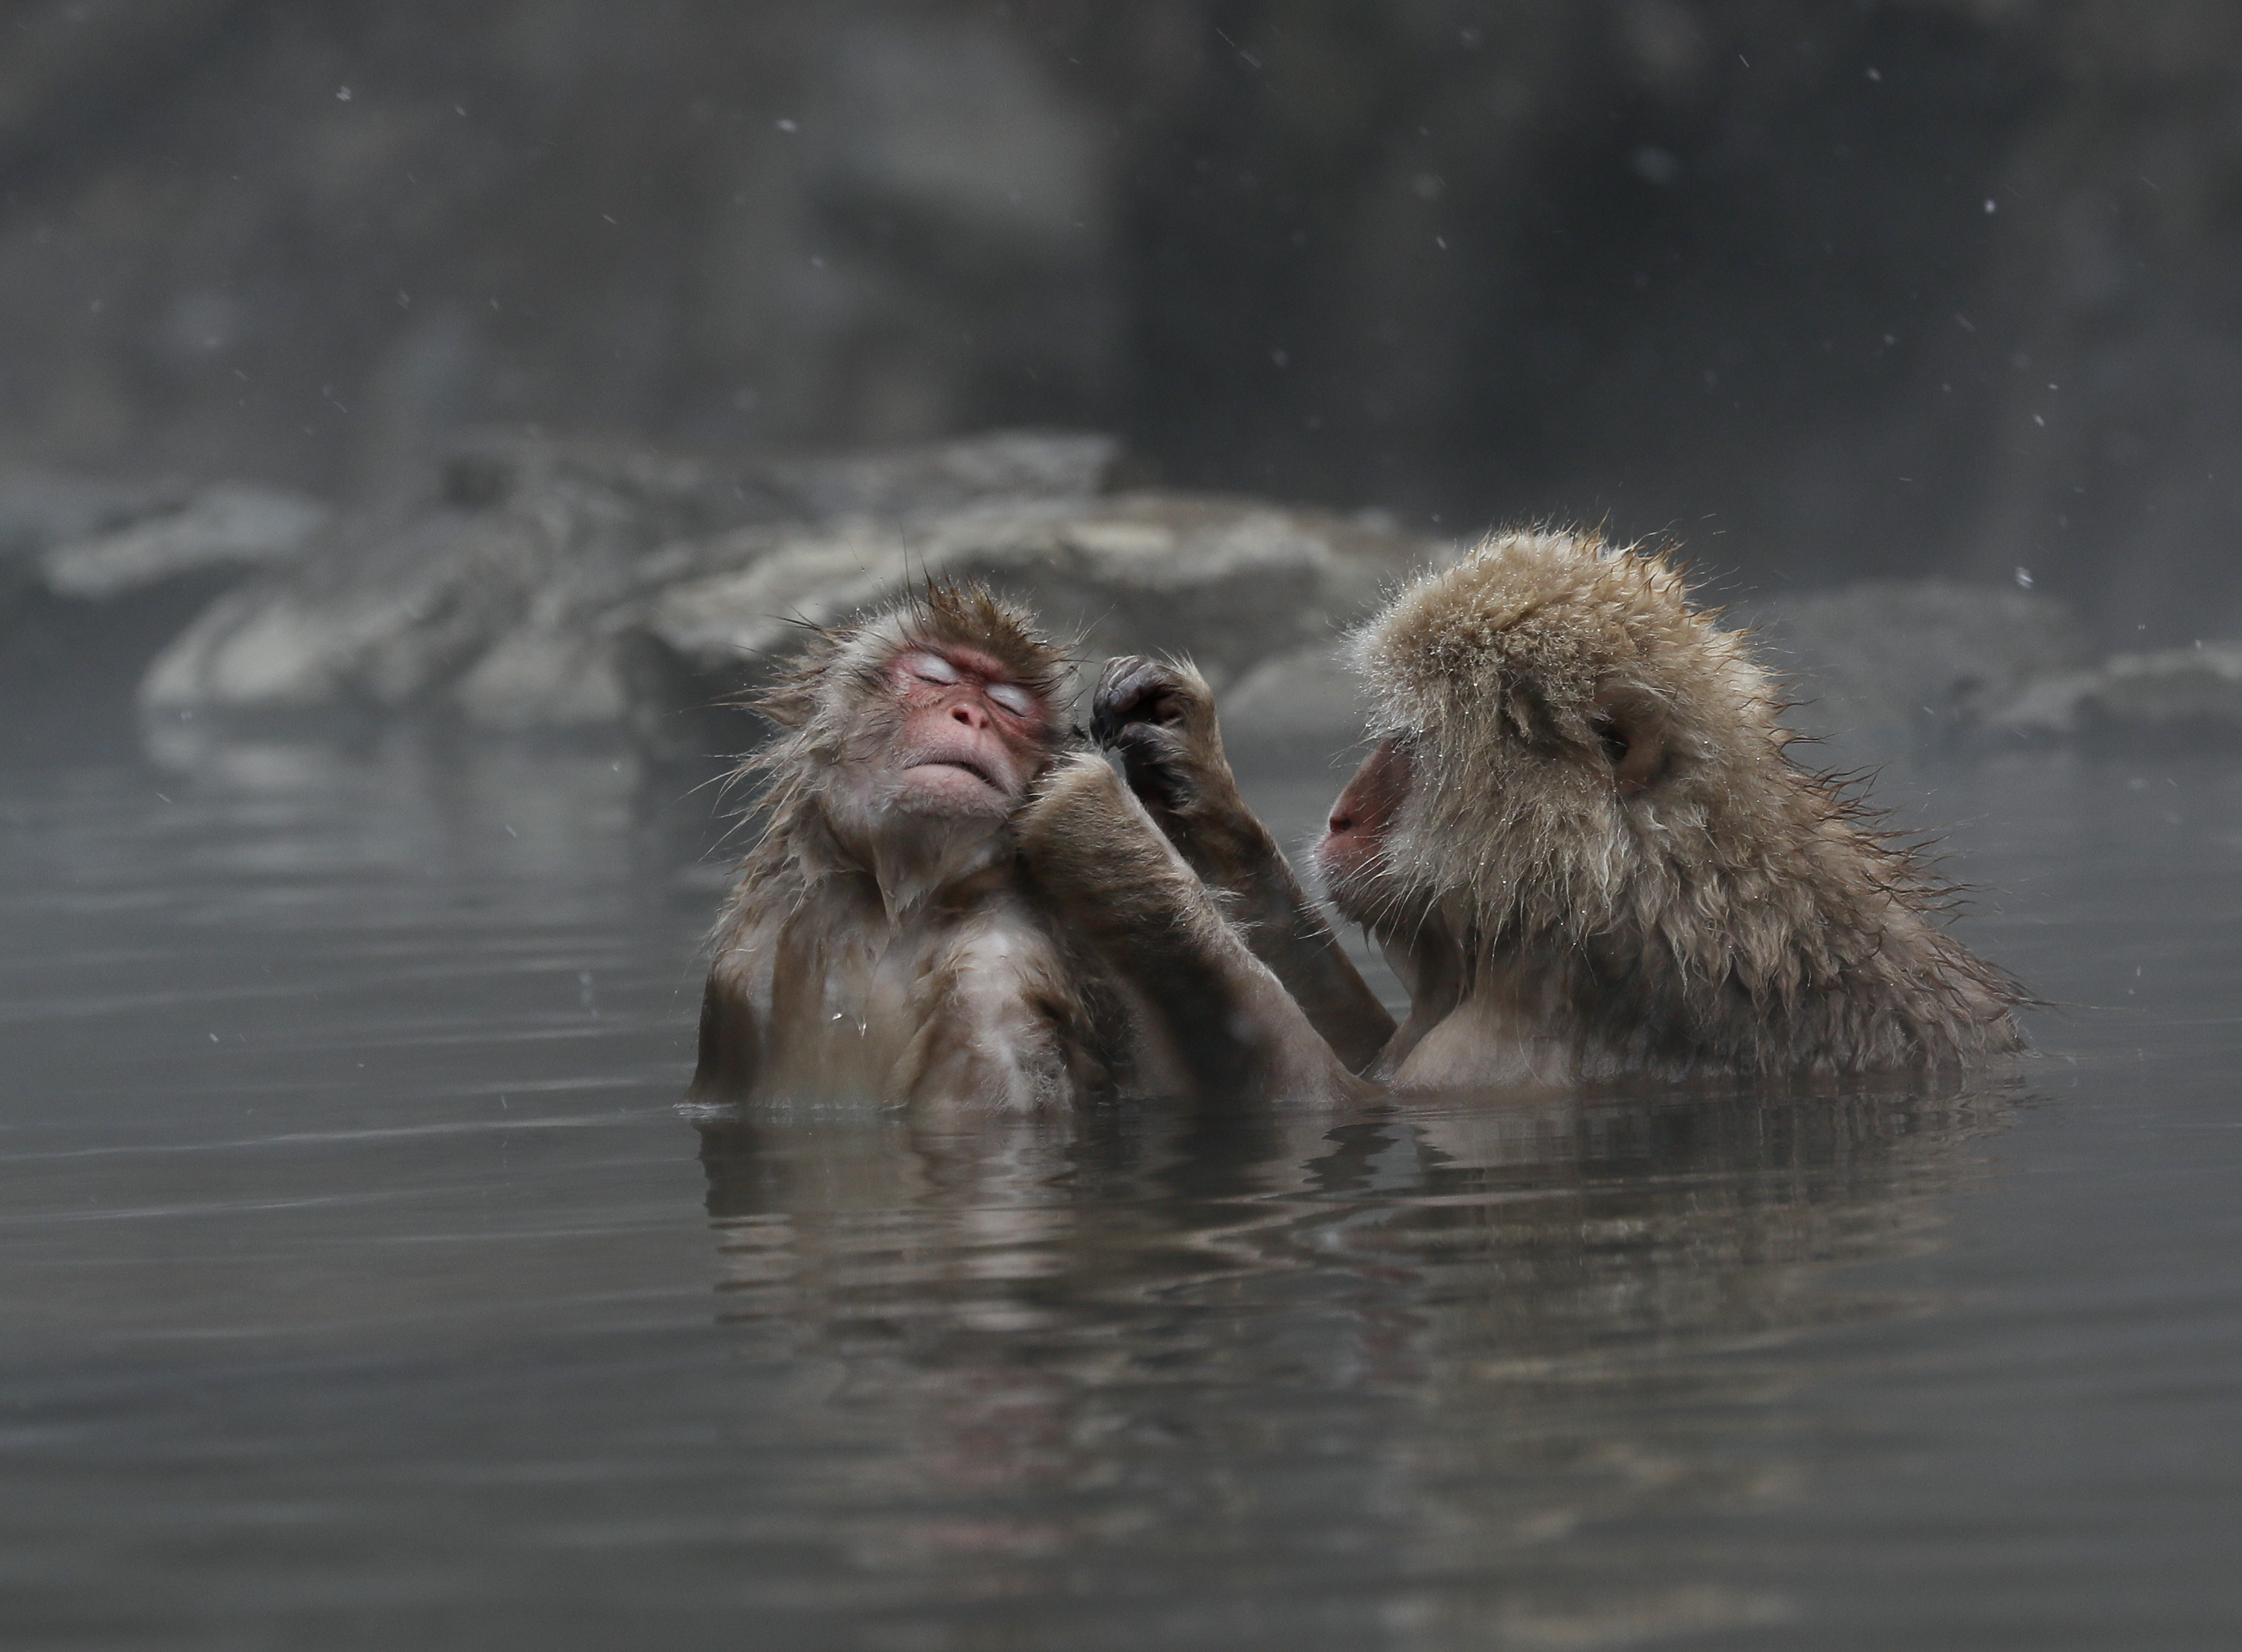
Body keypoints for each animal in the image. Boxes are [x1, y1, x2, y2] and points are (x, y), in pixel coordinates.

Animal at [690, 578, 1345, 1107]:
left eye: (1009, 706)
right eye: (932, 675)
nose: (970, 715)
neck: (894, 910)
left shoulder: (999, 975)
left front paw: (1098, 814)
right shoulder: (738, 969)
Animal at [1022, 529, 2036, 1089]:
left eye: (1417, 743)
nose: (1342, 817)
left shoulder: (1536, 1037)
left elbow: (1321, 1097)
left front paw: (1105, 837)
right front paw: (1182, 758)